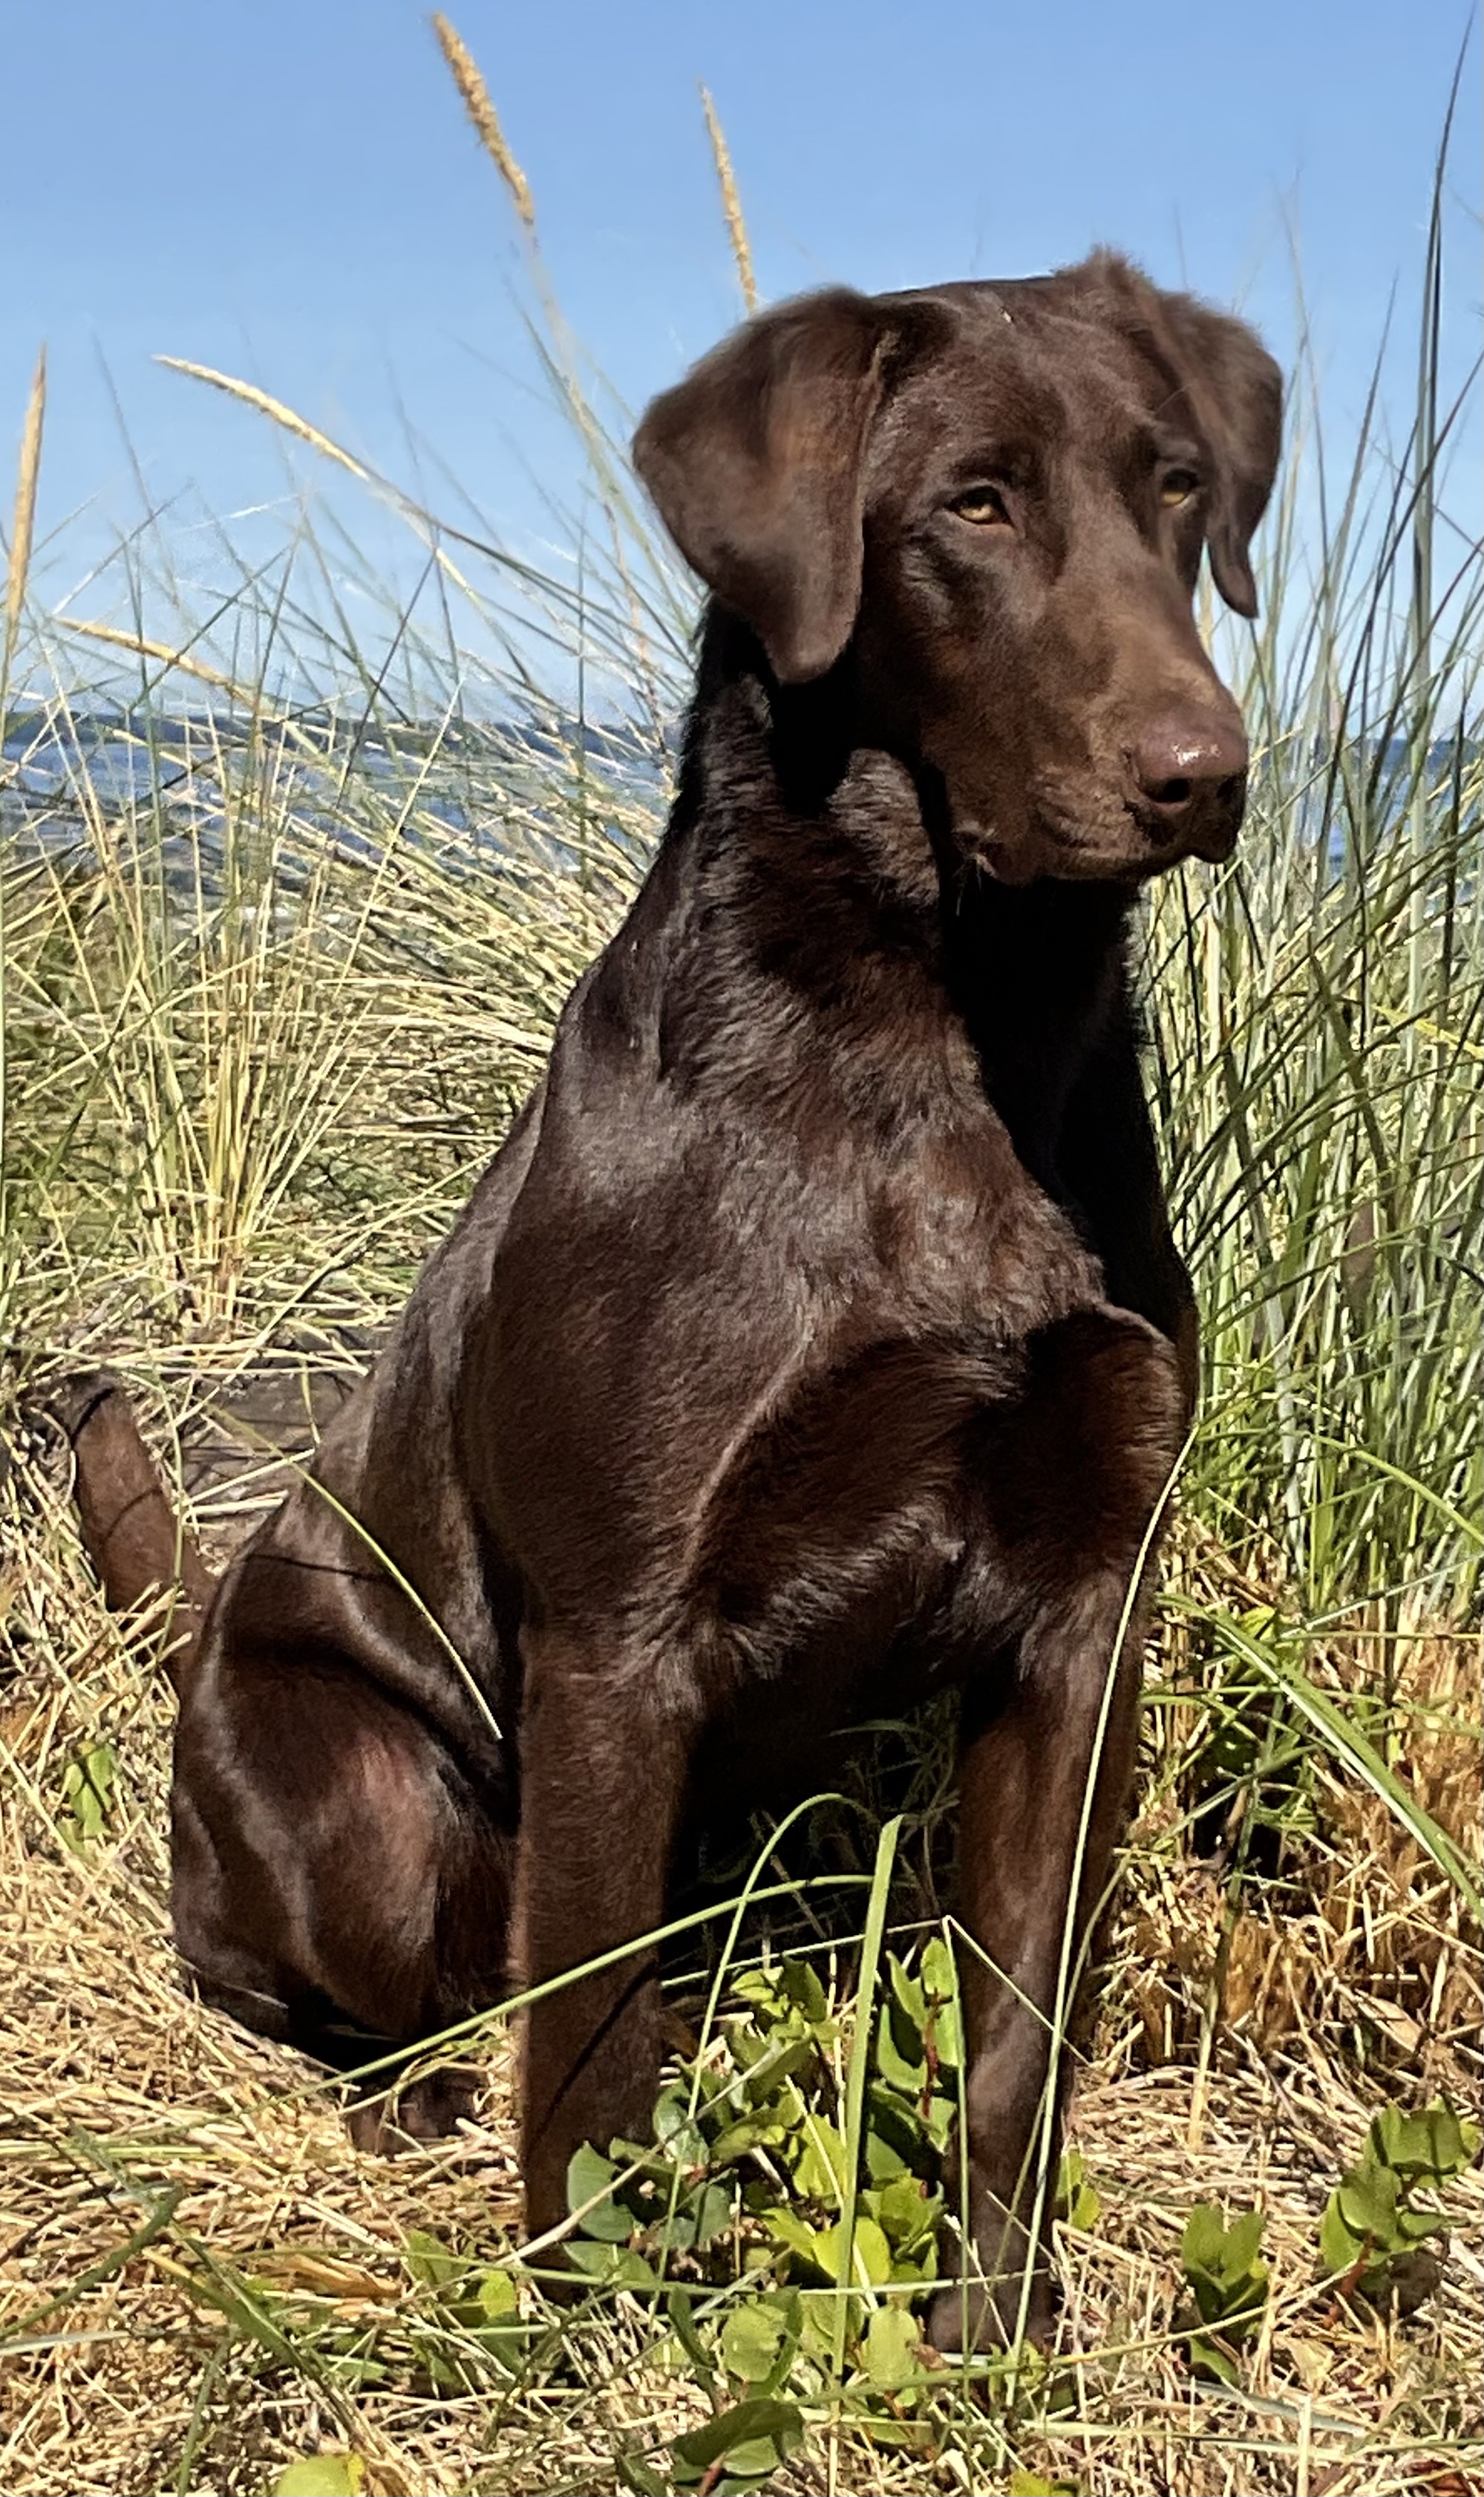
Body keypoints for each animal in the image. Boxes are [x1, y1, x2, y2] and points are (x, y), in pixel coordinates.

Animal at [63, 263, 1279, 2347]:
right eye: (971, 505)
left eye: (1177, 486)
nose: (1202, 771)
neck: (940, 1039)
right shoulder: (618, 1640)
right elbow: (591, 2046)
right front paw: (598, 2318)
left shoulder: (1079, 1614)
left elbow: (1016, 2030)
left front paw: (995, 2334)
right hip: (363, 1789)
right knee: (343, 1978)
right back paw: (396, 2088)